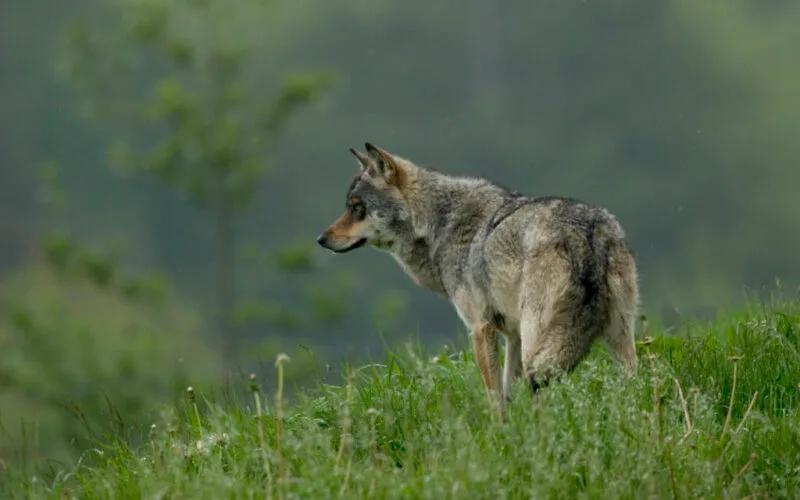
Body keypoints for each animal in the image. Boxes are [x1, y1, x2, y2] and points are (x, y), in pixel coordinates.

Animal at [316, 143, 639, 419]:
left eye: (357, 208)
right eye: (349, 207)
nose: (321, 239)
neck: (438, 225)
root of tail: (586, 232)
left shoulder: (480, 328)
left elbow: (493, 394)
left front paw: (500, 432)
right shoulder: (511, 335)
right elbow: (509, 392)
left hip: (540, 344)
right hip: (618, 337)